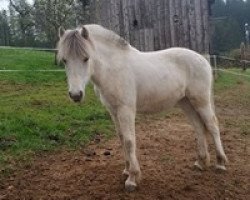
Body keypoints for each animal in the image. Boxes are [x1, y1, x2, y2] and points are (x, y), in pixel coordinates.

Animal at [57, 25, 228, 192]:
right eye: (65, 60)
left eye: (86, 58)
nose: (76, 95)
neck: (113, 68)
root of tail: (202, 59)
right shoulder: (113, 111)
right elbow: (121, 139)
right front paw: (127, 170)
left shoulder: (126, 110)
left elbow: (129, 141)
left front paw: (132, 178)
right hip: (186, 103)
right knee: (198, 127)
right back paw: (200, 162)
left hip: (201, 101)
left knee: (212, 126)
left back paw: (220, 163)